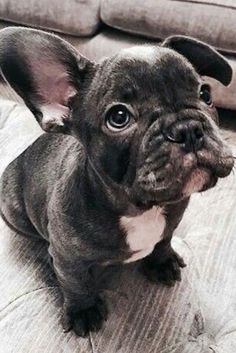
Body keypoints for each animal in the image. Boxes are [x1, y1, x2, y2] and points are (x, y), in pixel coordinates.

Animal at [0, 26, 233, 336]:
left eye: (205, 93)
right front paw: (83, 310)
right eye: (119, 117)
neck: (141, 209)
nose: (187, 128)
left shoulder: (171, 223)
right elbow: (75, 282)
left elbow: (164, 241)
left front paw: (163, 262)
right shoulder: (68, 259)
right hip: (13, 211)